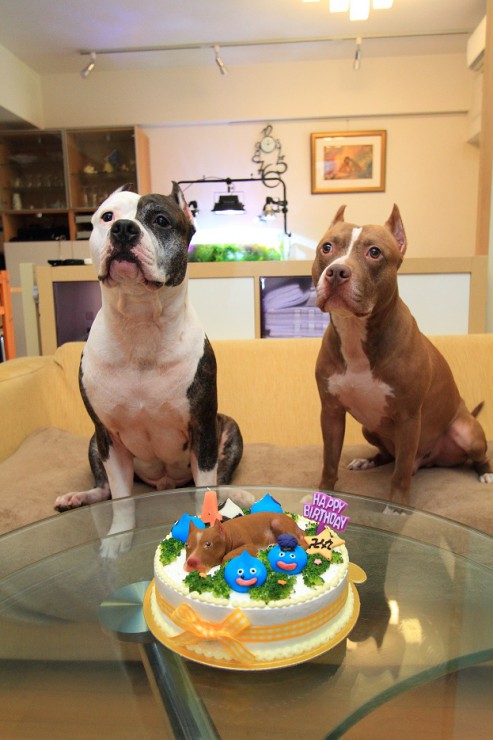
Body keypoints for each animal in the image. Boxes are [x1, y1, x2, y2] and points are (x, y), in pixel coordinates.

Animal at [55, 183, 247, 555]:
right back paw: (78, 497)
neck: (141, 321)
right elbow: (121, 499)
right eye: (107, 216)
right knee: (103, 490)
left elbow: (205, 489)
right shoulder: (108, 437)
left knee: (219, 481)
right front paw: (118, 538)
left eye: (160, 220)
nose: (123, 229)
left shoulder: (203, 427)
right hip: (94, 443)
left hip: (228, 428)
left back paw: (237, 493)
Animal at [311, 204, 493, 506]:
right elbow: (329, 460)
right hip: (369, 428)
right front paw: (322, 496)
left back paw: (486, 474)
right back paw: (367, 461)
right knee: (390, 456)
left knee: (470, 457)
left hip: (467, 432)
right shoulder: (331, 412)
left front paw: (396, 508)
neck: (355, 335)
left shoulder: (408, 418)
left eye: (374, 252)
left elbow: (401, 472)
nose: (336, 272)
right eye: (327, 247)